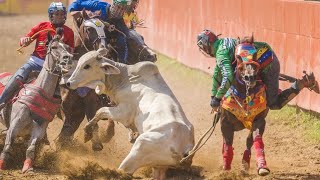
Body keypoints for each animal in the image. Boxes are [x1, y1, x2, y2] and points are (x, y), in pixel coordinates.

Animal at [0, 31, 73, 173]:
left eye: (67, 46)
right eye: (54, 47)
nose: (68, 58)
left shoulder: (39, 128)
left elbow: (31, 147)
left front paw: (28, 168)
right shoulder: (14, 125)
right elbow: (8, 144)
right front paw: (2, 164)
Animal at [66, 48, 194, 179]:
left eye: (87, 66)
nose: (68, 83)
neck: (126, 79)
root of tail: (186, 149)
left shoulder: (123, 112)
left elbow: (100, 111)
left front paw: (87, 133)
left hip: (138, 151)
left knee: (124, 170)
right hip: (159, 166)